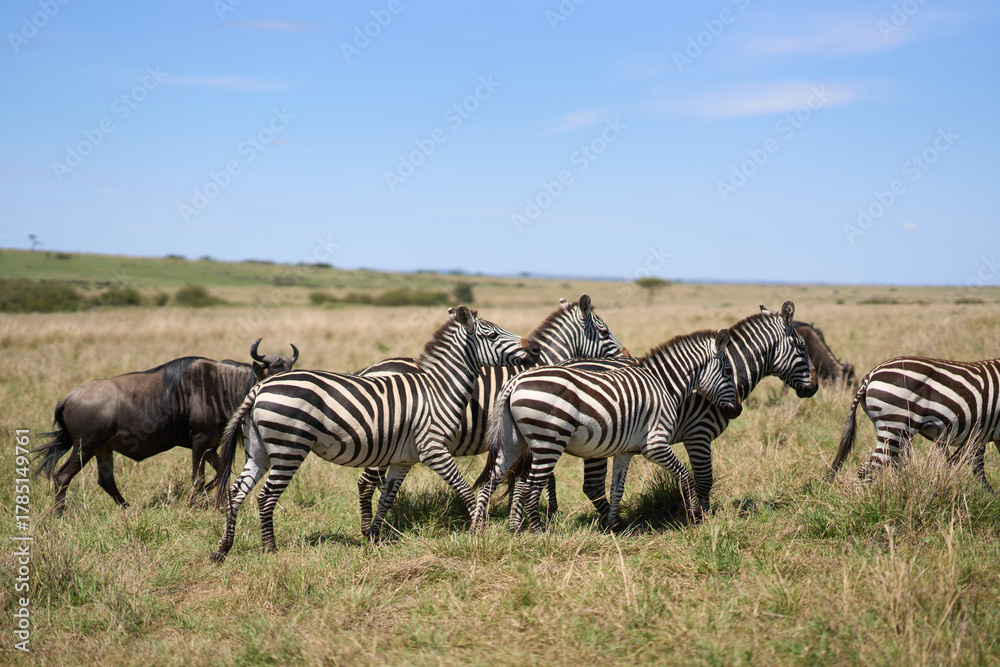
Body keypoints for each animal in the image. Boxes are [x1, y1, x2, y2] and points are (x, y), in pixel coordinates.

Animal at [210, 306, 538, 562]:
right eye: (492, 335)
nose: (532, 349)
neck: (439, 390)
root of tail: (260, 386)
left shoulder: (403, 459)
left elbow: (387, 499)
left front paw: (374, 538)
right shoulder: (433, 450)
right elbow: (466, 490)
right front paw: (478, 530)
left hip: (259, 450)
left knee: (237, 492)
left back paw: (223, 549)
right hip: (288, 448)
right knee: (265, 496)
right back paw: (270, 549)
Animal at [353, 295, 631, 534]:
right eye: (604, 332)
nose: (628, 357)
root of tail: (368, 369)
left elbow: (532, 478)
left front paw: (530, 516)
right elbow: (529, 480)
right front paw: (523, 521)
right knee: (366, 482)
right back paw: (368, 529)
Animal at [472, 328, 742, 532]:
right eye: (728, 371)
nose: (737, 411)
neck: (664, 385)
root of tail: (516, 381)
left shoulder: (626, 451)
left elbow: (617, 490)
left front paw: (614, 526)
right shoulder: (655, 445)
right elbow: (686, 476)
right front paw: (695, 514)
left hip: (513, 442)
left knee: (490, 482)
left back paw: (477, 530)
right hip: (548, 442)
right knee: (531, 487)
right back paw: (539, 532)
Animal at [504, 301, 818, 530]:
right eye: (802, 347)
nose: (814, 388)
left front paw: (692, 512)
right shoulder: (698, 434)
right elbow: (704, 479)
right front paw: (699, 515)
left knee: (528, 478)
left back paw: (517, 525)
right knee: (587, 485)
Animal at [829, 355, 1000, 490]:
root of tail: (869, 376)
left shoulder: (981, 434)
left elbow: (976, 466)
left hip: (896, 432)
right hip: (895, 426)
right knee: (868, 471)